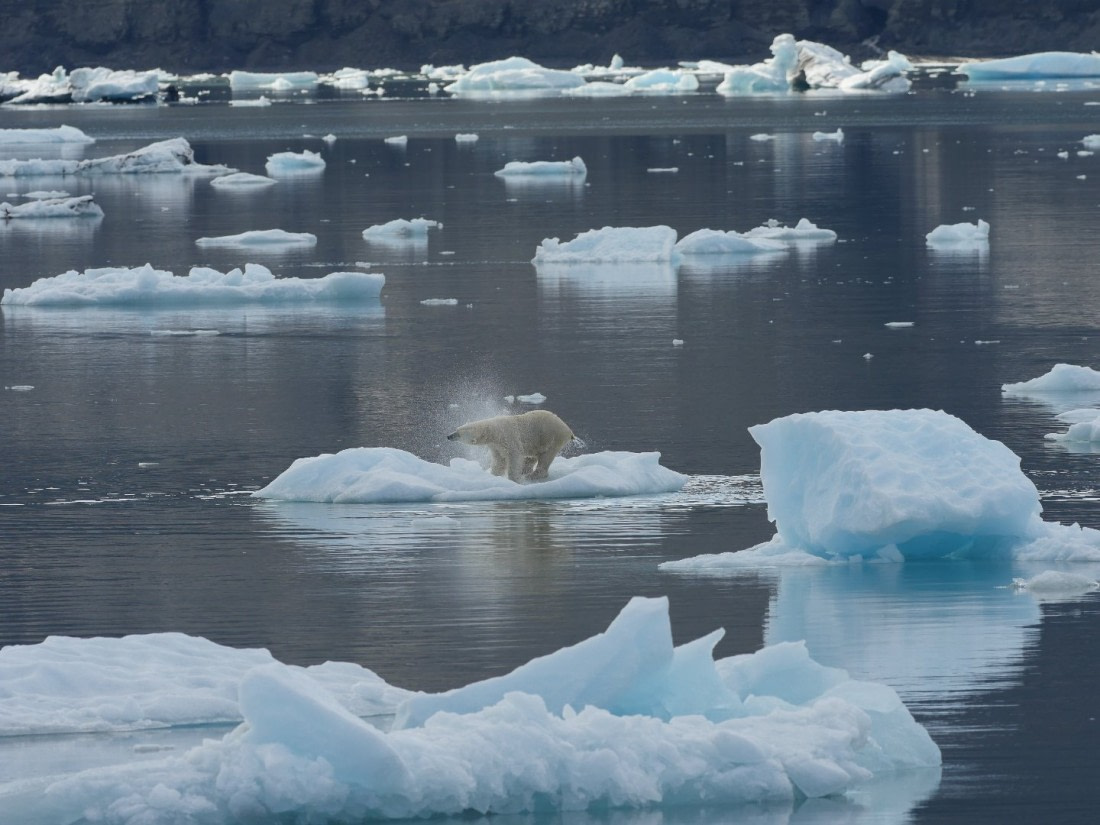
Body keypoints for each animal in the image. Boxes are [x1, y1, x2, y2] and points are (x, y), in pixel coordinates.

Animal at [447, 410, 576, 482]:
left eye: (458, 434)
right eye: (456, 429)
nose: (448, 436)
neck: (493, 430)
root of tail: (568, 430)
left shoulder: (508, 436)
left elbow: (514, 456)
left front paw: (514, 478)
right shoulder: (495, 446)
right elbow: (499, 461)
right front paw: (495, 475)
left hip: (551, 438)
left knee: (545, 457)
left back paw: (531, 476)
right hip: (537, 442)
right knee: (531, 456)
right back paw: (525, 471)